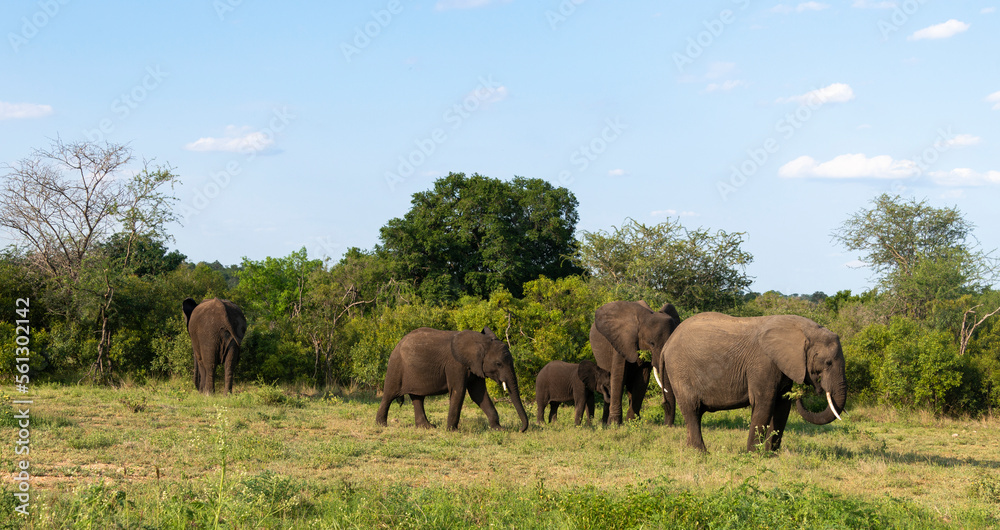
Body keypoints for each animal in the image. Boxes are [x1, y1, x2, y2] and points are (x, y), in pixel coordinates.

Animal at [376, 324, 532, 432]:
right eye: (498, 364)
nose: (520, 430)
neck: (481, 342)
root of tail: (398, 343)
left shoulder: (475, 367)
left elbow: (478, 394)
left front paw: (499, 429)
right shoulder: (456, 365)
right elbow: (459, 391)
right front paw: (453, 431)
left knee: (418, 398)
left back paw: (427, 427)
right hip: (396, 366)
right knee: (389, 395)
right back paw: (381, 425)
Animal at [660, 312, 848, 452]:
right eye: (828, 363)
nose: (800, 395)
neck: (803, 330)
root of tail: (666, 345)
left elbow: (782, 406)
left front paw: (771, 455)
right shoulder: (763, 364)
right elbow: (764, 403)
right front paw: (752, 454)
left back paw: (690, 450)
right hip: (680, 370)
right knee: (692, 410)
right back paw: (702, 453)